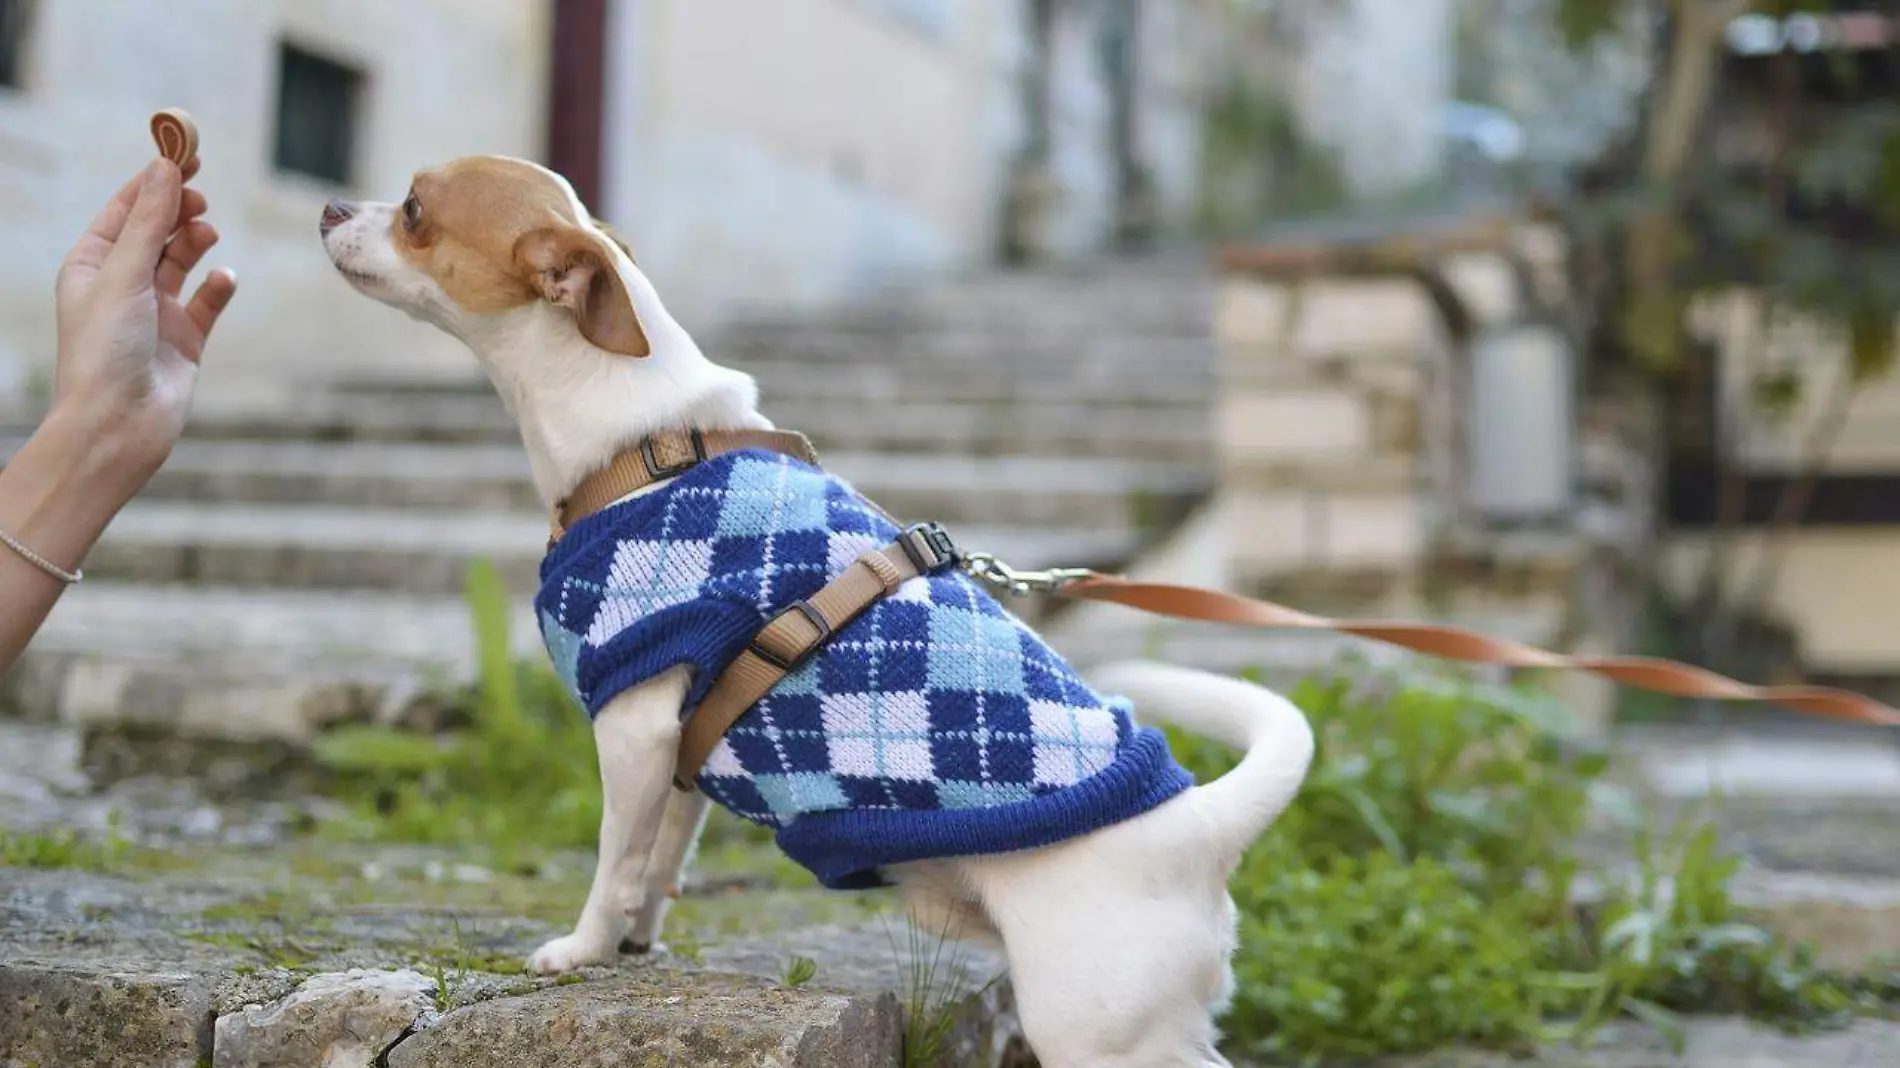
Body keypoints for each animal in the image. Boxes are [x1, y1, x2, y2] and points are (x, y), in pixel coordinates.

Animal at [319, 155, 1314, 1064]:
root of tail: (1200, 826)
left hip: (1098, 1031)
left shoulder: (632, 726)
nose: (328, 205)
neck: (648, 443)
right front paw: (638, 940)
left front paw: (583, 949)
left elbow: (612, 860)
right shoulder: (679, 753)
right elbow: (659, 859)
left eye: (414, 209)